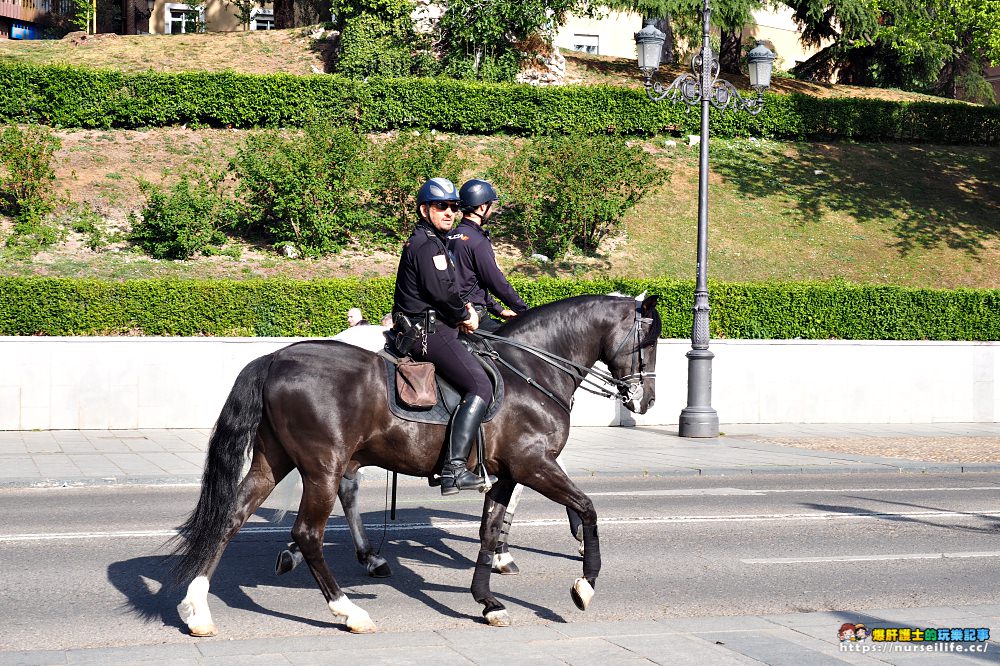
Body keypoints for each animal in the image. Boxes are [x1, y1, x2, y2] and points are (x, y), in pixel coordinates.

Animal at [174, 292, 656, 632]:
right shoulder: (534, 465)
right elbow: (587, 509)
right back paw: (348, 608)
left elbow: (488, 531)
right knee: (309, 532)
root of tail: (276, 357)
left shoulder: (506, 475)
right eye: (648, 342)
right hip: (322, 468)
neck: (530, 369)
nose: (645, 399)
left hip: (272, 463)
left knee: (232, 517)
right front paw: (584, 583)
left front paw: (487, 600)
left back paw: (197, 607)